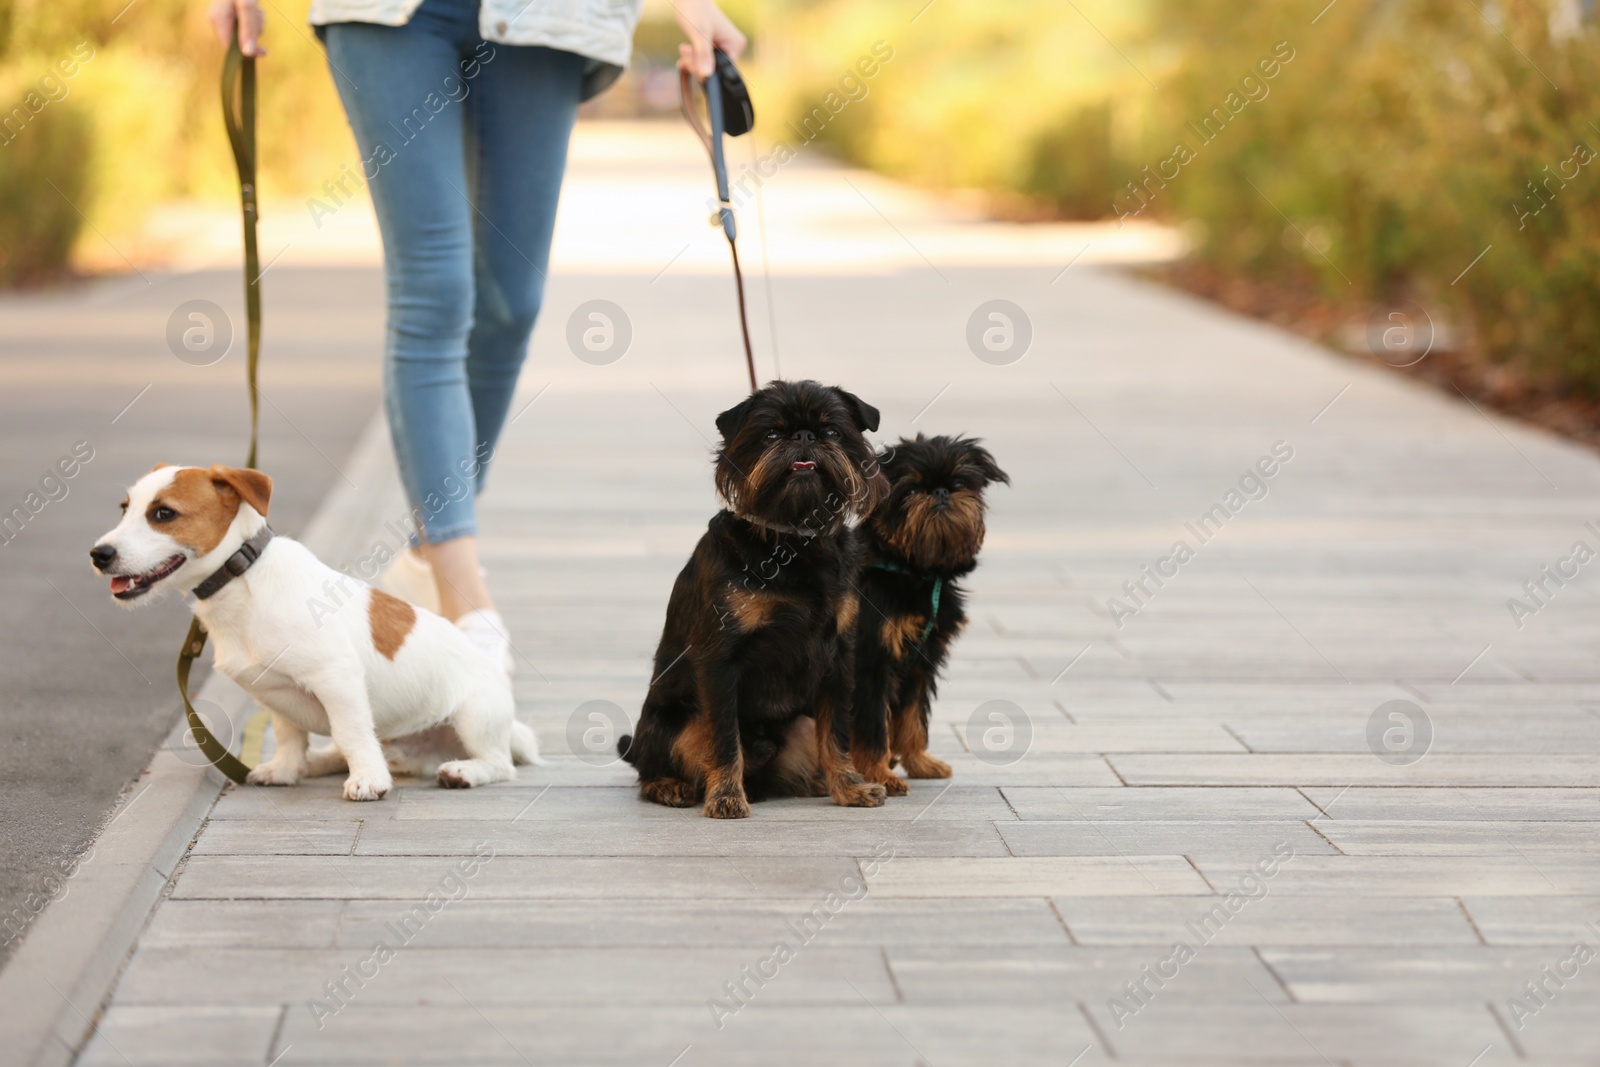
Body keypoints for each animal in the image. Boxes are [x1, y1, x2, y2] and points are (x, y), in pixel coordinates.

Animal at [90, 467, 534, 799]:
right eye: (124, 509)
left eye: (163, 514)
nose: (98, 554)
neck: (243, 577)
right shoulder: (273, 692)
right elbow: (291, 736)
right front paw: (287, 769)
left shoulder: (336, 679)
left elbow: (352, 733)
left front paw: (368, 781)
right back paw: (318, 762)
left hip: (473, 717)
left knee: (500, 765)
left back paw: (462, 772)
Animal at [617, 382, 896, 819]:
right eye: (771, 434)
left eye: (832, 432)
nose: (804, 436)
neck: (794, 541)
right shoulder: (720, 661)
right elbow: (724, 740)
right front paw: (726, 796)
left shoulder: (838, 658)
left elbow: (836, 735)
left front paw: (850, 787)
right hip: (681, 722)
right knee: (652, 765)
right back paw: (671, 786)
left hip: (801, 723)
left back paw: (817, 783)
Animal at [844, 431, 1004, 793]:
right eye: (911, 490)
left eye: (959, 483)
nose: (941, 492)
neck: (916, 572)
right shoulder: (872, 665)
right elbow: (873, 727)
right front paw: (879, 774)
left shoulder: (920, 663)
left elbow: (913, 718)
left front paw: (918, 762)